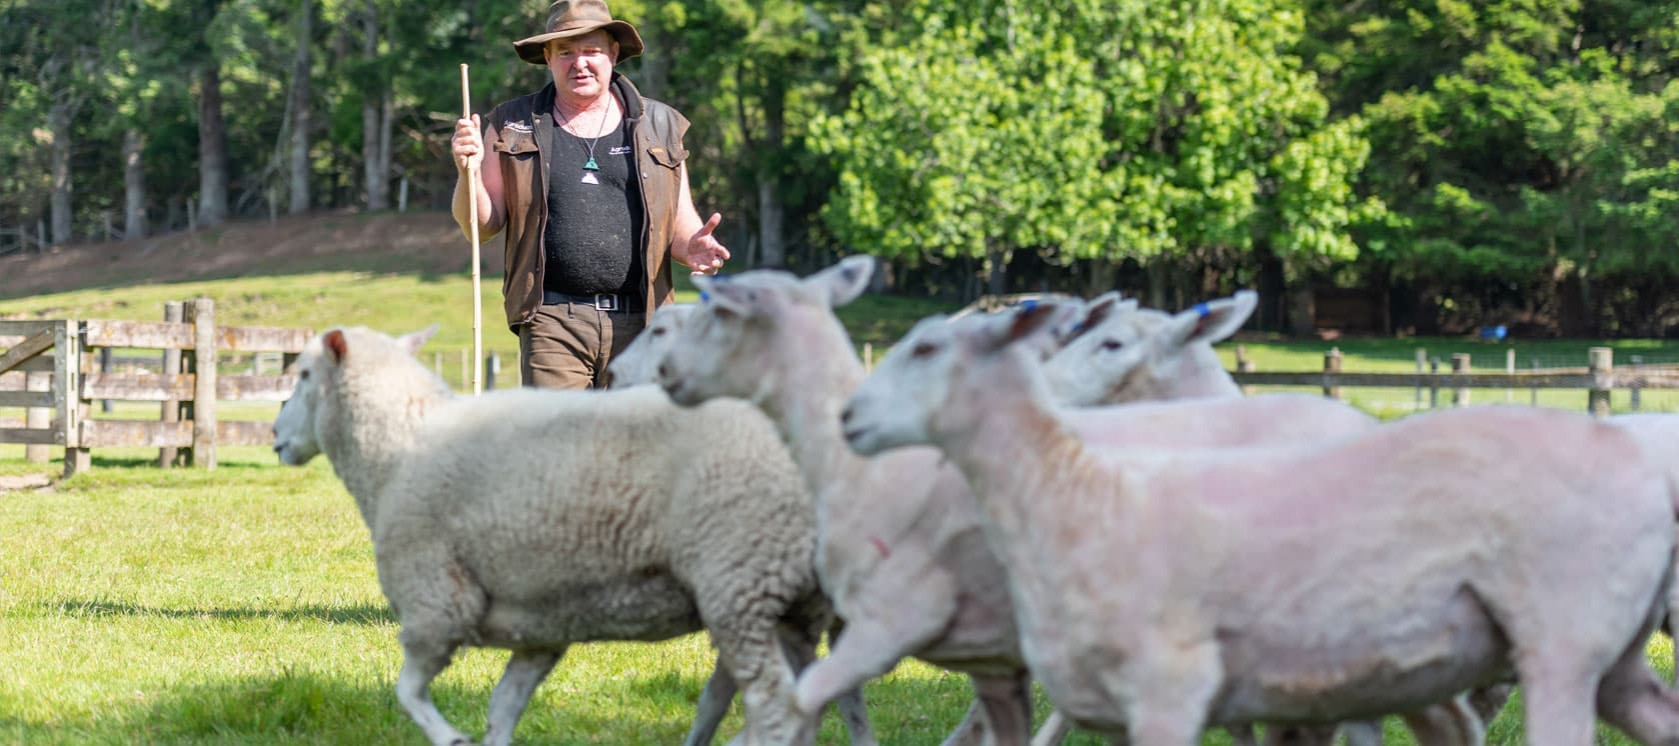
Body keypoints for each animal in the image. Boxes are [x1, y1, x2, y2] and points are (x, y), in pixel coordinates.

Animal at [271, 325, 834, 746]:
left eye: (304, 375)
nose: (275, 434)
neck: (400, 446)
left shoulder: (437, 603)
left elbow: (407, 691)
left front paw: (451, 737)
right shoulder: (540, 626)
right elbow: (501, 710)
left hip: (741, 581)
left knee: (778, 710)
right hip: (792, 602)